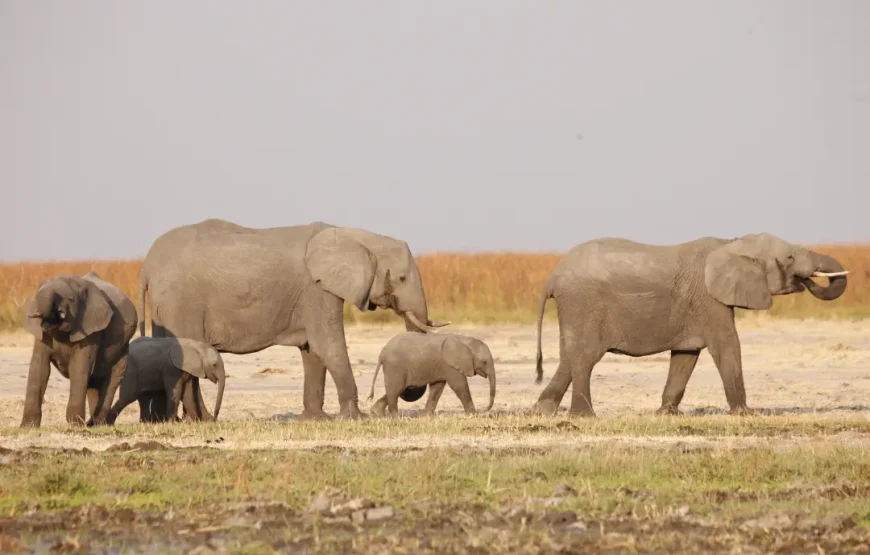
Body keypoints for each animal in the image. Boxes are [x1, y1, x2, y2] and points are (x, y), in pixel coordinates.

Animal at [140, 219, 450, 420]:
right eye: (401, 278)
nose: (379, 405)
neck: (356, 236)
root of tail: (146, 265)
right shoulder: (317, 290)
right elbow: (328, 344)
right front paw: (356, 417)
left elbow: (312, 349)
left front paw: (317, 419)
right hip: (181, 303)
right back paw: (203, 420)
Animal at [366, 330, 498, 416]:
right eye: (484, 362)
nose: (486, 409)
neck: (465, 340)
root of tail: (382, 352)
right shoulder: (449, 364)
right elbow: (459, 385)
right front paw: (473, 414)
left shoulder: (442, 366)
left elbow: (437, 388)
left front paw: (427, 416)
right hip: (395, 366)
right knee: (396, 389)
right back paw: (395, 417)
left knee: (399, 388)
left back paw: (376, 413)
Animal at [532, 232, 852, 420]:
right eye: (789, 258)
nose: (806, 279)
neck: (730, 243)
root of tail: (553, 276)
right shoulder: (709, 299)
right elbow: (727, 345)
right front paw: (746, 413)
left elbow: (686, 355)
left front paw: (667, 415)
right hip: (583, 304)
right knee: (585, 358)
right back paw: (583, 417)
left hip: (575, 308)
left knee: (569, 358)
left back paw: (542, 413)